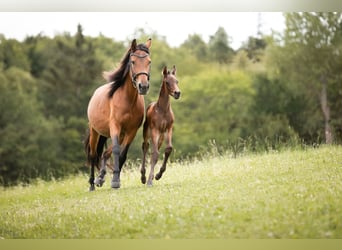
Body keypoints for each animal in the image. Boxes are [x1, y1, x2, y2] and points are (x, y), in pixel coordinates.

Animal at [85, 38, 152, 191]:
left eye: (149, 62)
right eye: (133, 61)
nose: (143, 86)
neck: (127, 100)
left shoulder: (131, 131)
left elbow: (122, 154)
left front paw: (116, 179)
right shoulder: (115, 126)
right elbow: (116, 151)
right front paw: (115, 181)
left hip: (121, 135)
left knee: (105, 153)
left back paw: (100, 178)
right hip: (95, 131)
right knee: (93, 154)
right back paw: (92, 183)